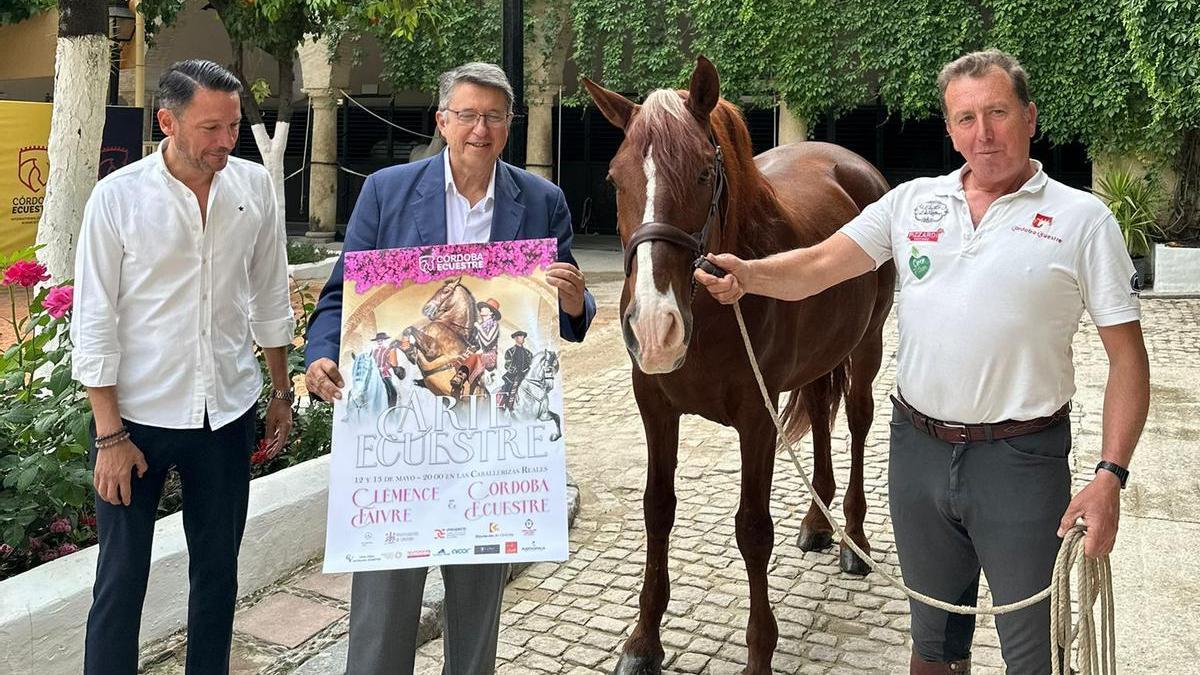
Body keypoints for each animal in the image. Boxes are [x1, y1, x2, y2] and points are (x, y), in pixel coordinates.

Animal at [580, 55, 892, 667]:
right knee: (821, 407)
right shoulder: (655, 407)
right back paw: (817, 522)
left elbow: (752, 529)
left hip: (867, 346)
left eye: (704, 173)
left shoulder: (756, 419)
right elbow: (658, 509)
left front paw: (759, 651)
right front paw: (644, 639)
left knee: (858, 420)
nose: (653, 326)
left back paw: (854, 539)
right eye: (614, 179)